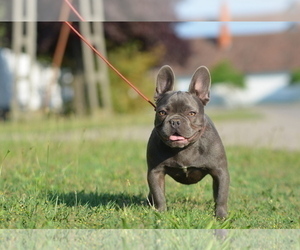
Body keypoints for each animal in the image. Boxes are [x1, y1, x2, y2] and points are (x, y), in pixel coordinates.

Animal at [147, 65, 230, 218]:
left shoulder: (220, 172)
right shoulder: (155, 172)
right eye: (162, 113)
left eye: (191, 113)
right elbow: (159, 194)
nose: (175, 121)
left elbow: (221, 196)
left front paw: (221, 216)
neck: (184, 148)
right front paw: (161, 213)